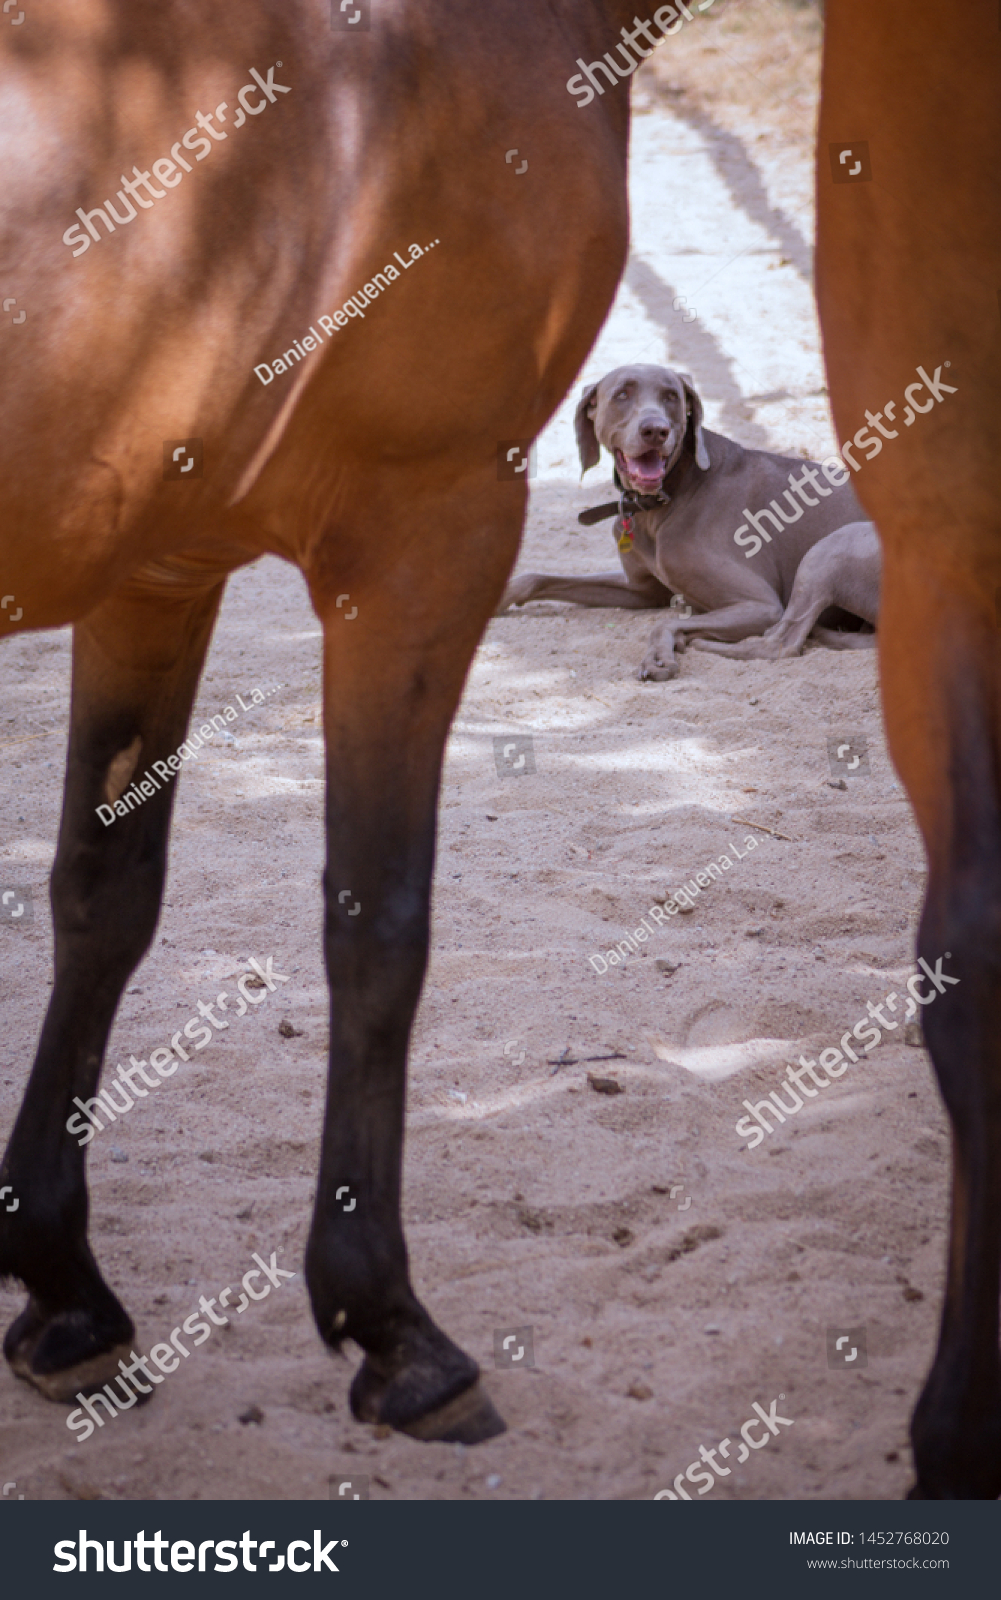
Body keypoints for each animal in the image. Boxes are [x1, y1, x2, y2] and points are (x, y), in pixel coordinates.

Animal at [495, 366, 869, 678]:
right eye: (622, 394)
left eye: (671, 396)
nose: (655, 430)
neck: (659, 503)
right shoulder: (641, 590)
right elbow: (534, 577)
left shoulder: (760, 605)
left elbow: (663, 624)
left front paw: (659, 657)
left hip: (831, 549)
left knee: (780, 644)